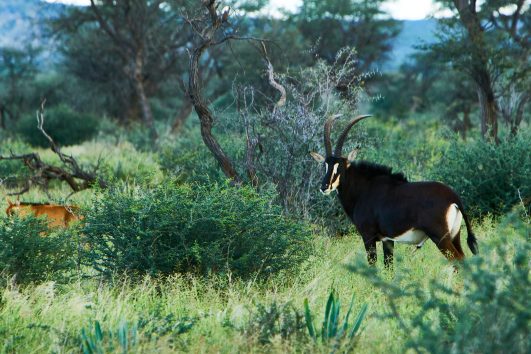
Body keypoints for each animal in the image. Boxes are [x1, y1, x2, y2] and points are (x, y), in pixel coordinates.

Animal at [310, 116, 480, 268]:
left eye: (341, 166)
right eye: (325, 165)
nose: (324, 186)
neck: (364, 189)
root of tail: (453, 197)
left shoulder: (368, 236)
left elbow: (373, 267)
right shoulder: (388, 240)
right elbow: (389, 268)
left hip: (440, 238)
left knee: (458, 261)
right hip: (455, 236)